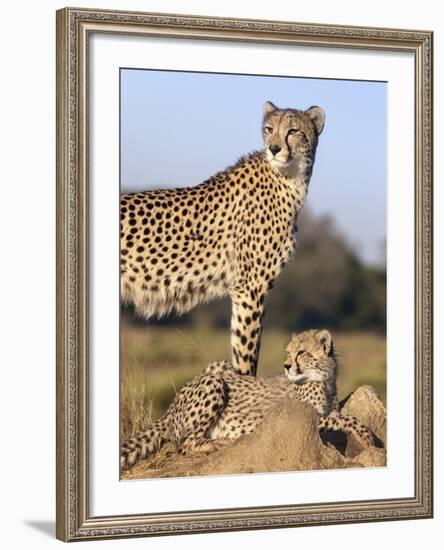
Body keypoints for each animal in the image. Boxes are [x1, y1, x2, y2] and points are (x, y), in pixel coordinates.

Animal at [119, 102, 324, 376]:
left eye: (293, 131)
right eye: (269, 129)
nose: (274, 148)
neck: (289, 179)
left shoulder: (246, 288)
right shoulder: (250, 287)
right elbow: (246, 352)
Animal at [119, 330, 376, 472]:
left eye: (301, 352)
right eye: (288, 352)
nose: (286, 366)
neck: (323, 379)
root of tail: (171, 405)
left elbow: (341, 415)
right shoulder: (303, 415)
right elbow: (345, 419)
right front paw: (368, 437)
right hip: (214, 382)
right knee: (185, 444)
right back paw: (219, 443)